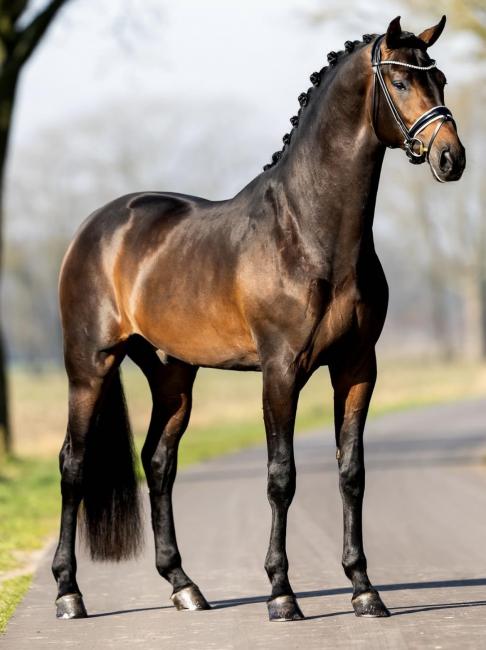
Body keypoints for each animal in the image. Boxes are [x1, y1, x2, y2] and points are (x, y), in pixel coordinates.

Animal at [52, 16, 465, 622]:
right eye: (400, 80)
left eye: (439, 78)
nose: (451, 159)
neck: (311, 232)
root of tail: (96, 227)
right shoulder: (281, 370)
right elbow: (281, 477)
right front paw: (281, 594)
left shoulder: (357, 368)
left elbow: (352, 472)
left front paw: (365, 589)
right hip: (89, 366)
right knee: (74, 465)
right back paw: (69, 593)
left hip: (173, 375)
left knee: (158, 463)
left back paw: (184, 586)